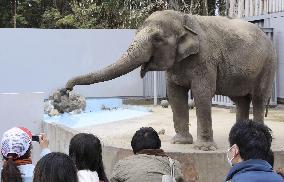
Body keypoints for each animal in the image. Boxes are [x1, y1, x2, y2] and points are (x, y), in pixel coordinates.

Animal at [64, 10, 276, 151]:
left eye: (157, 39)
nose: (67, 89)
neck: (185, 19)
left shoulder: (205, 59)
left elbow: (201, 94)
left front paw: (204, 148)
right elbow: (175, 94)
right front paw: (181, 142)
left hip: (268, 65)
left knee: (258, 98)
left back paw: (262, 135)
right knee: (240, 100)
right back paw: (237, 136)